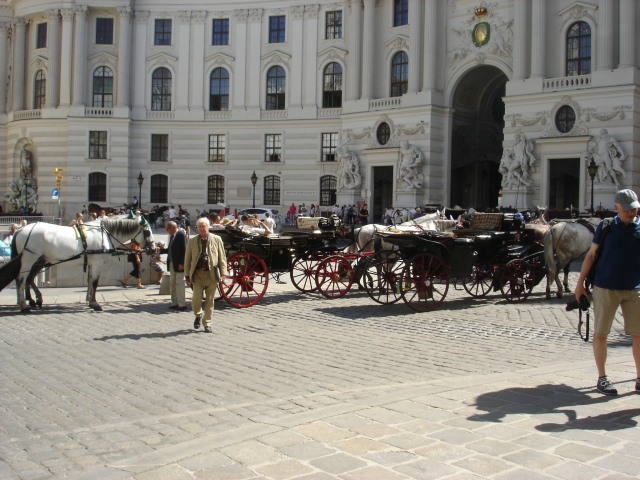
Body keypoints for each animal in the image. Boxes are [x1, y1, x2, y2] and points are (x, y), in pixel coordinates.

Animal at [0, 217, 155, 312]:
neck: (104, 233)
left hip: (39, 260)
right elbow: (95, 283)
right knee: (21, 279)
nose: (153, 249)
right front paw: (95, 303)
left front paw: (90, 300)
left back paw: (33, 300)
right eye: (147, 232)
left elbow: (90, 282)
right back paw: (24, 305)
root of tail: (21, 229)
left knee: (29, 278)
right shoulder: (97, 263)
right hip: (29, 259)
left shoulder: (92, 263)